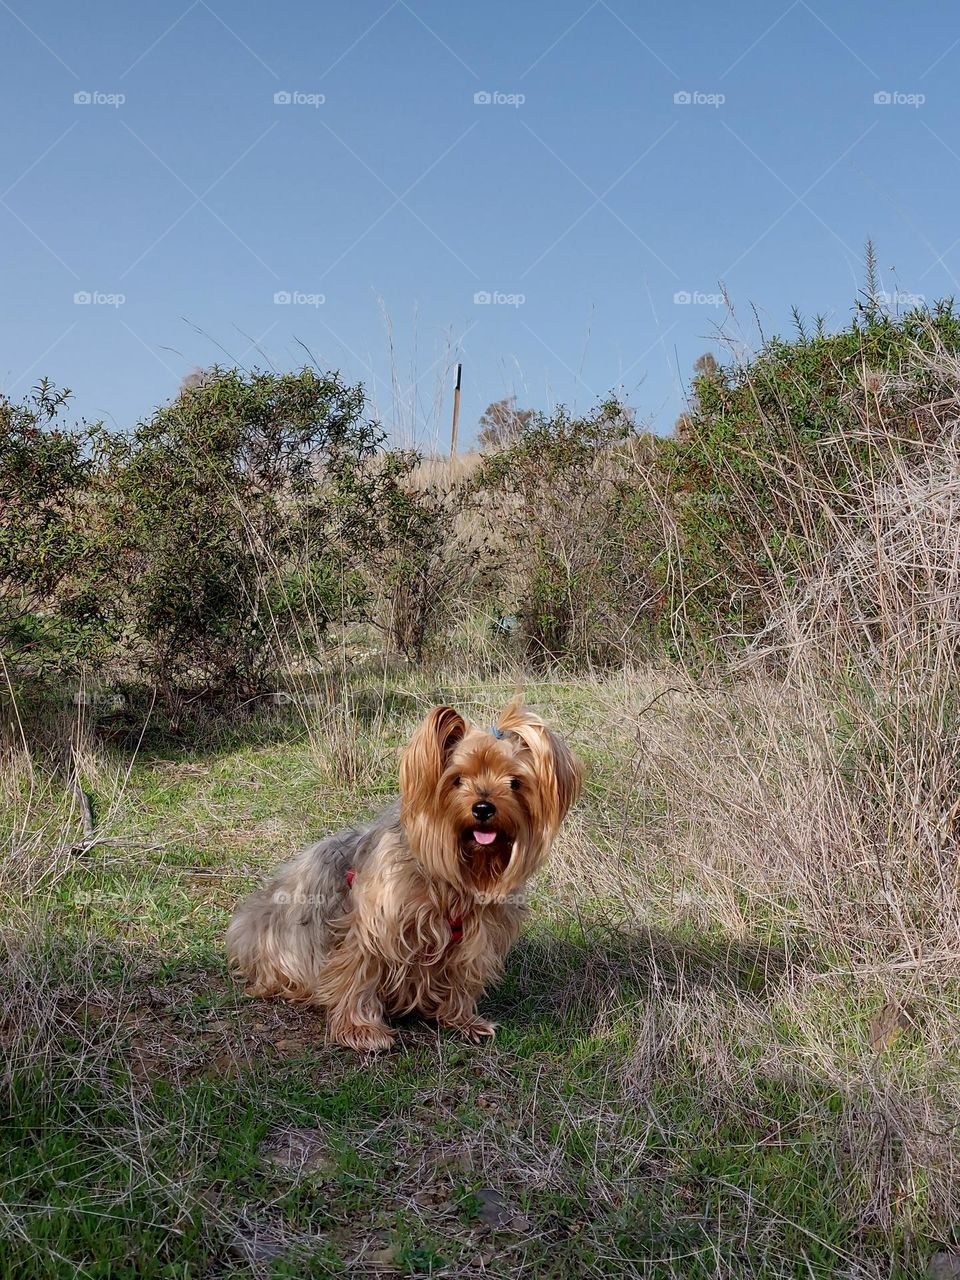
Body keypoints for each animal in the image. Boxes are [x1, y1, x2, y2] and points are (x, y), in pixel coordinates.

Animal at [227, 701, 578, 1049]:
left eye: (515, 782)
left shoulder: (478, 937)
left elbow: (462, 978)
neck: (454, 879)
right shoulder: (374, 926)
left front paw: (463, 1020)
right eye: (457, 779)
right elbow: (359, 972)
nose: (483, 808)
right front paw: (360, 1029)